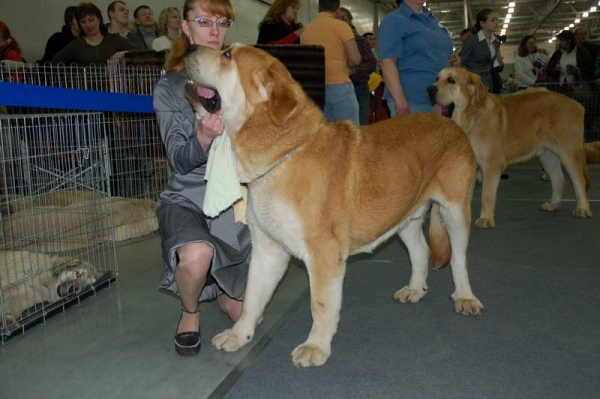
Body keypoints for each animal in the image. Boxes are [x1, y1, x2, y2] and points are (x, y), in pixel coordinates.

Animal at [183, 44, 482, 368]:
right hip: (405, 217)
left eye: (227, 55)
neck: (284, 154)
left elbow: (321, 304)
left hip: (455, 211)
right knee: (420, 251)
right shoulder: (268, 250)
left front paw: (315, 347)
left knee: (459, 259)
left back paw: (465, 297)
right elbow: (252, 297)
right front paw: (239, 335)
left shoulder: (323, 254)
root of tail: (450, 123)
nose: (190, 46)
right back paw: (414, 289)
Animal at [426, 67, 592, 227]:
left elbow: (486, 195)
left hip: (569, 152)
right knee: (559, 179)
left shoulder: (491, 165)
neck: (473, 117)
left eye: (451, 80)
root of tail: (578, 104)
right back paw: (553, 204)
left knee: (579, 181)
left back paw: (582, 209)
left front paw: (486, 219)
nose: (429, 88)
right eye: (437, 78)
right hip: (547, 155)